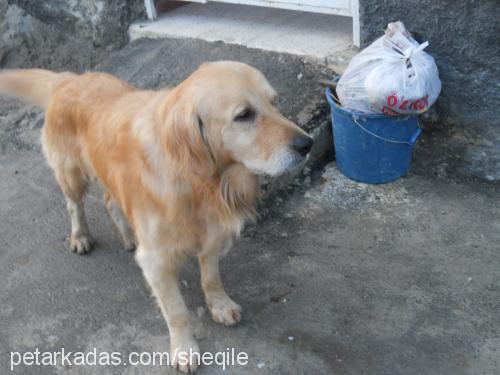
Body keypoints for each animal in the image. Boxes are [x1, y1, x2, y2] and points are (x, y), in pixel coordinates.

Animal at [0, 61, 312, 374]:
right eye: (244, 115)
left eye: (274, 102)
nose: (307, 144)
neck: (198, 181)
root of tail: (70, 79)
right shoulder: (156, 260)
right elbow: (177, 312)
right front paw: (184, 350)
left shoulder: (211, 234)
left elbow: (211, 277)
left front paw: (220, 305)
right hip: (70, 173)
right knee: (74, 205)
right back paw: (80, 236)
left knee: (109, 200)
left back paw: (127, 235)